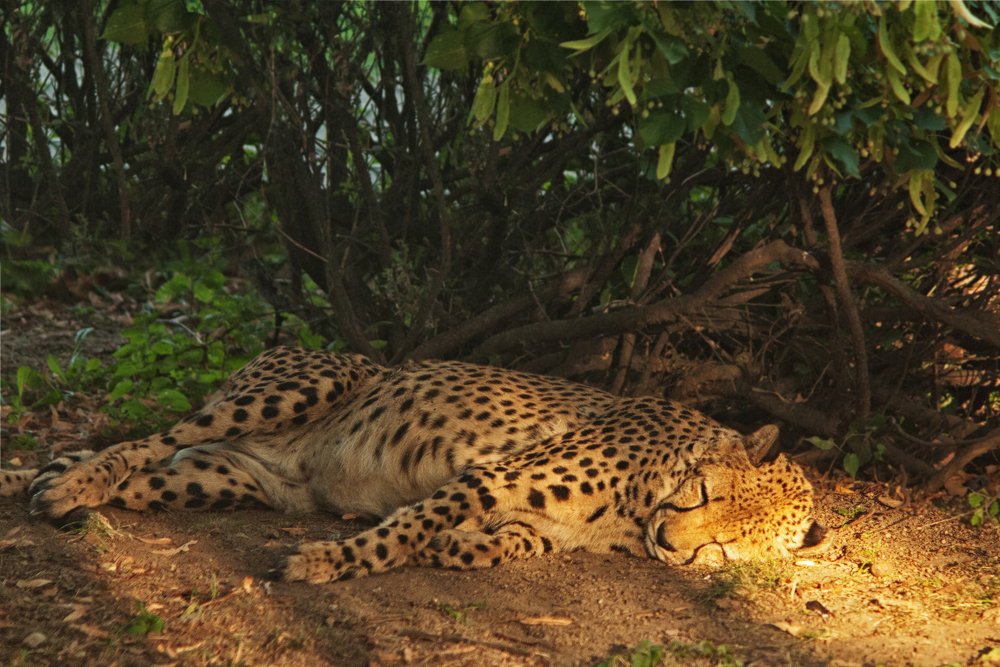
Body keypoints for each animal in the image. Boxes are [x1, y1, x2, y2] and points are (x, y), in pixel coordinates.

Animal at [0, 346, 825, 583]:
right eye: (703, 494)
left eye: (725, 549)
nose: (671, 543)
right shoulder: (492, 476)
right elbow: (401, 531)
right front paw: (326, 562)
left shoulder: (533, 520)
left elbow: (496, 543)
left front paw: (459, 544)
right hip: (292, 390)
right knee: (139, 439)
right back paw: (70, 484)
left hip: (220, 479)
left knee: (144, 468)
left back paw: (61, 487)